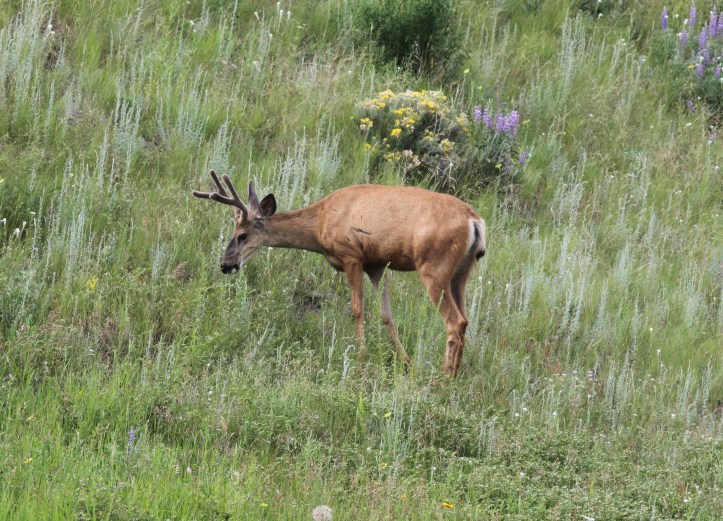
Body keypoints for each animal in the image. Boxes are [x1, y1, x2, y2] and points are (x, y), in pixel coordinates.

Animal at [193, 170, 486, 377]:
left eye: (242, 235)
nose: (226, 264)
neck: (320, 224)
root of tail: (474, 220)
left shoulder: (351, 255)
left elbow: (357, 309)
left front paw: (360, 357)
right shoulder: (377, 264)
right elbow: (386, 314)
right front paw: (406, 360)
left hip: (433, 266)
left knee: (454, 321)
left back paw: (444, 377)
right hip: (460, 272)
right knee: (465, 319)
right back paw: (455, 374)